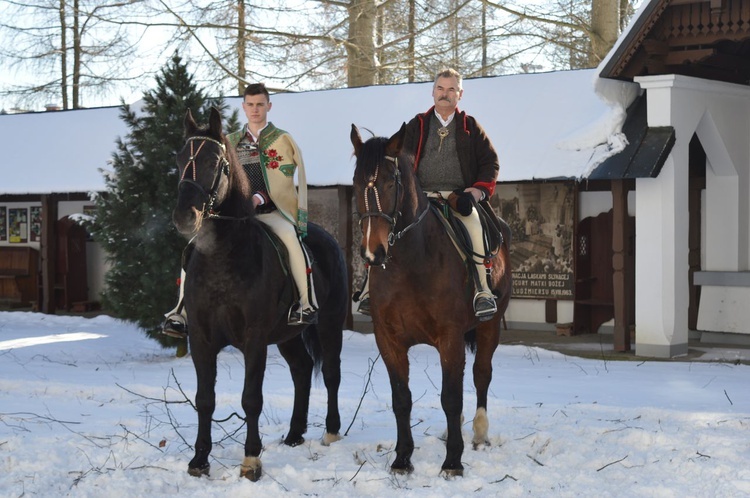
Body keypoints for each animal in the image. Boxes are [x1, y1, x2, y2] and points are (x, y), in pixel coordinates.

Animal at [172, 106, 348, 482]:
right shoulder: (201, 339)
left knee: (330, 372)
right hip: (287, 336)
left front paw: (251, 459)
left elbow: (251, 398)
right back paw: (295, 434)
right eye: (179, 158)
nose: (184, 217)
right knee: (301, 370)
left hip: (329, 324)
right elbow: (204, 398)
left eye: (214, 161)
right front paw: (199, 459)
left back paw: (331, 431)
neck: (224, 260)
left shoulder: (254, 340)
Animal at [352, 122, 516, 476]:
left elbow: (451, 398)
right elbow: (402, 399)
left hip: (490, 326)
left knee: (481, 374)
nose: (373, 252)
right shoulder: (389, 340)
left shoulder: (450, 337)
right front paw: (402, 458)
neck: (411, 262)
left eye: (390, 182)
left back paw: (478, 432)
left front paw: (453, 460)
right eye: (357, 183)